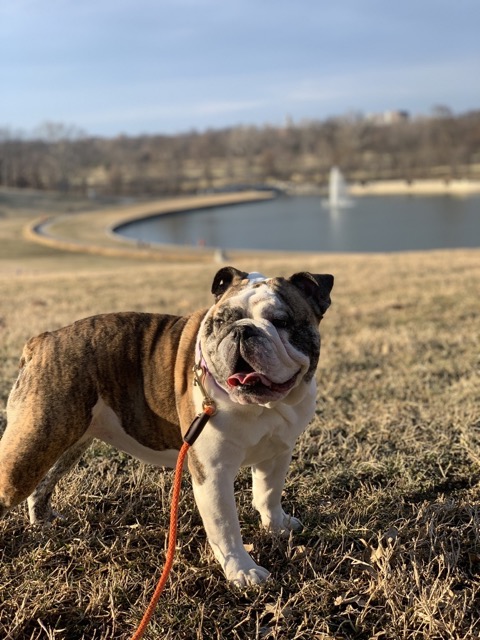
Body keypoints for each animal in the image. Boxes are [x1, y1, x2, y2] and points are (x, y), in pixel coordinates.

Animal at [0, 264, 332, 584]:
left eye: (282, 321)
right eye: (221, 321)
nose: (242, 331)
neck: (262, 406)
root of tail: (43, 340)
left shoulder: (277, 453)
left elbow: (268, 494)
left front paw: (277, 527)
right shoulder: (213, 474)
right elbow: (225, 527)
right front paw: (242, 571)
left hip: (66, 443)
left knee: (43, 484)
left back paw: (43, 522)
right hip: (28, 451)